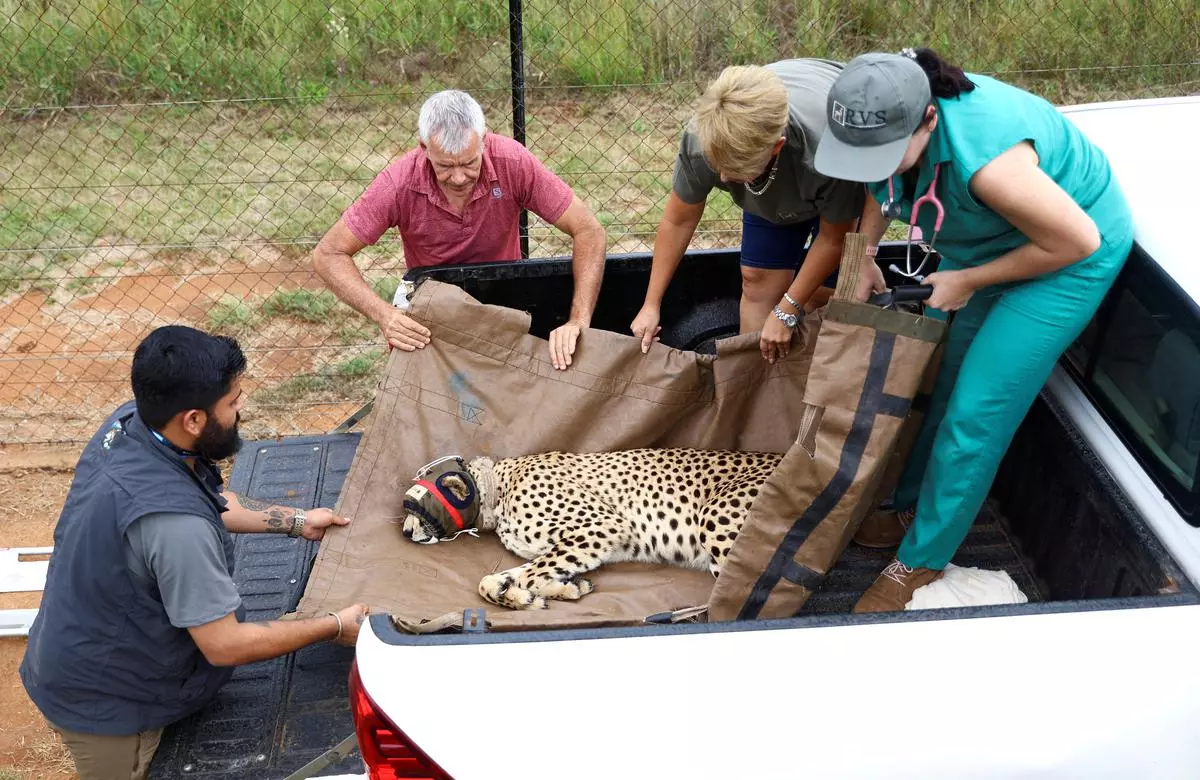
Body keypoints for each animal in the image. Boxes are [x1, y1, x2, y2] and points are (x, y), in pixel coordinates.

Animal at [398, 446, 782, 609]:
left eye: (413, 503)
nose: (404, 532)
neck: (496, 490)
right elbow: (492, 579)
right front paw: (564, 589)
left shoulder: (605, 524)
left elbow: (530, 575)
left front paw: (525, 595)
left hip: (716, 520)